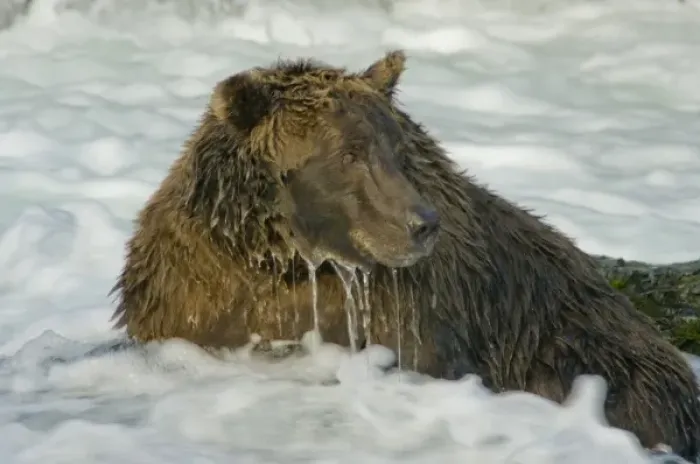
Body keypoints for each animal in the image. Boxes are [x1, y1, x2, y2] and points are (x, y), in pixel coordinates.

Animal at [109, 50, 700, 460]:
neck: (290, 262)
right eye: (348, 153)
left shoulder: (420, 314)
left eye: (395, 149)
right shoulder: (194, 295)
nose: (422, 223)